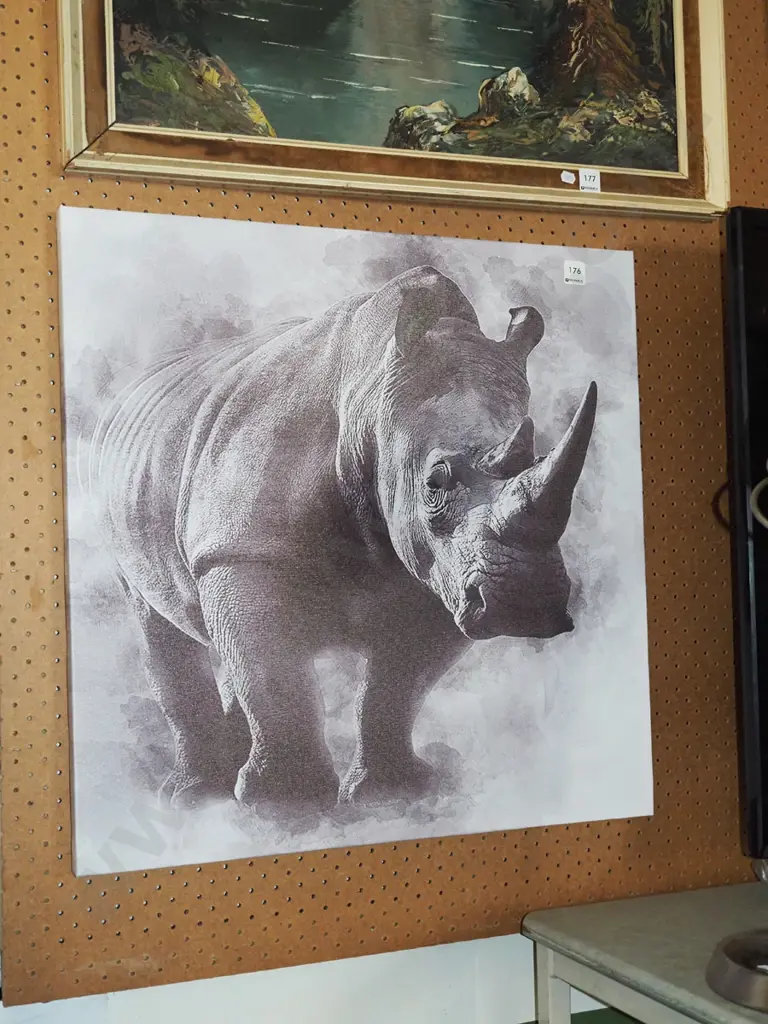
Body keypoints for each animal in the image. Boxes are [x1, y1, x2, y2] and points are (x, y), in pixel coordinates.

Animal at [91, 266, 597, 812]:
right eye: (434, 482)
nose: (528, 602)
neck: (371, 399)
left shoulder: (439, 573)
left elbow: (397, 688)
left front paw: (389, 795)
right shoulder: (242, 550)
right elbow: (274, 676)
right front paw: (285, 805)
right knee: (154, 617)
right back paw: (194, 795)